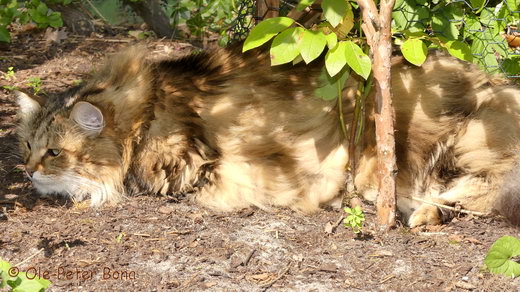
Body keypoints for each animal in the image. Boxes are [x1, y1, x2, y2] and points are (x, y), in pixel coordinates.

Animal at [14, 44, 520, 227]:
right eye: (27, 145)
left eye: (54, 152)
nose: (28, 170)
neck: (150, 106)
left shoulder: (202, 168)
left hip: (401, 153)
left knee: (478, 190)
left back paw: (417, 213)